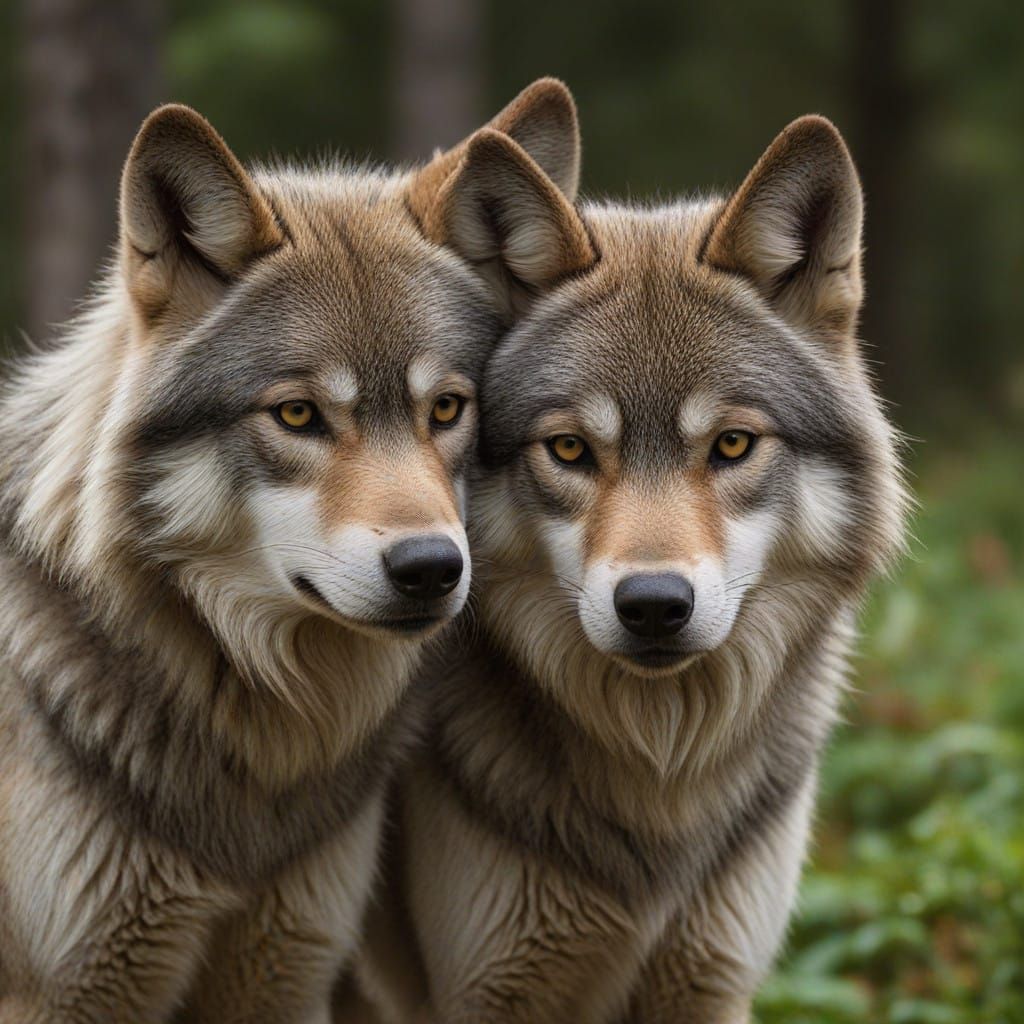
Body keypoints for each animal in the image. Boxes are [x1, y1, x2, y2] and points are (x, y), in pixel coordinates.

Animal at [374, 115, 908, 1022]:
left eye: (732, 444)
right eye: (569, 450)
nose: (654, 604)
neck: (660, 777)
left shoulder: (710, 982)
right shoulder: (489, 989)